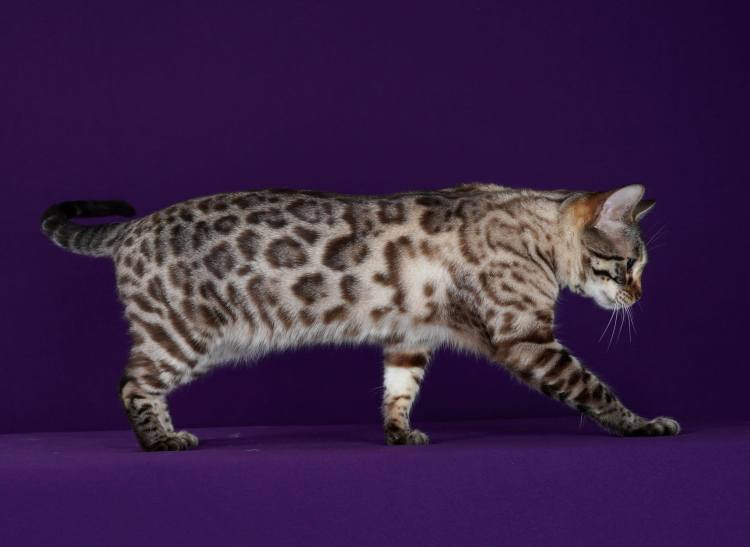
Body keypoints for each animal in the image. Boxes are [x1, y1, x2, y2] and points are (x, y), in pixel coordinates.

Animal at [41, 183, 679, 451]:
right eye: (628, 266)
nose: (639, 299)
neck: (530, 230)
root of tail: (133, 227)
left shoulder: (409, 335)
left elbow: (398, 390)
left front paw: (398, 434)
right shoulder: (525, 337)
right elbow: (596, 390)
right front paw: (643, 425)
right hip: (183, 336)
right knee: (132, 385)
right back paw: (160, 442)